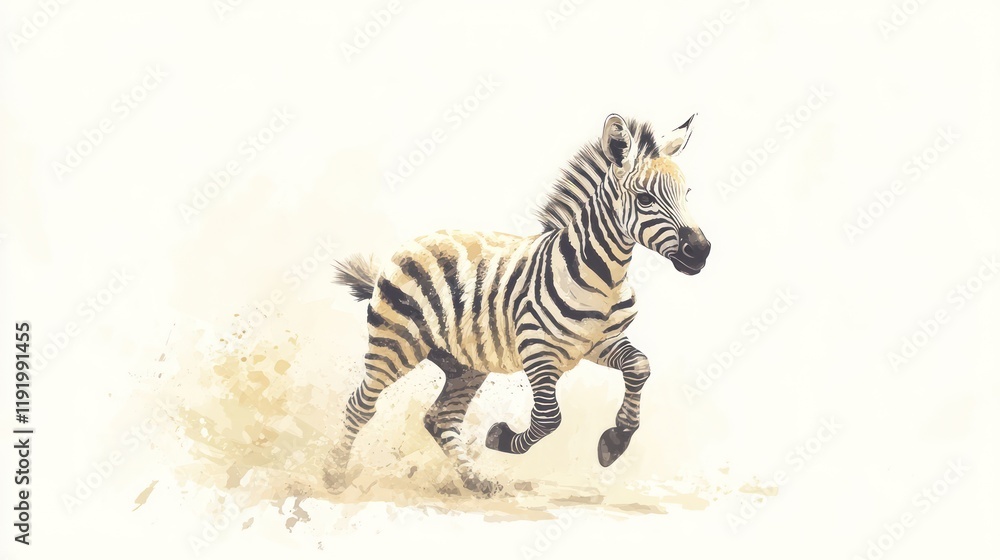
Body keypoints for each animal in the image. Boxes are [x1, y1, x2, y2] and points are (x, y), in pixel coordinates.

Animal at [326, 113, 711, 495]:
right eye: (644, 199)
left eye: (687, 194)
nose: (700, 251)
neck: (604, 277)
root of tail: (415, 241)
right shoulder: (537, 350)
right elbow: (548, 417)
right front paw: (499, 437)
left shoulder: (601, 342)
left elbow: (640, 366)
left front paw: (615, 441)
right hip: (395, 345)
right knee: (360, 406)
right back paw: (334, 476)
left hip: (463, 364)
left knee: (441, 419)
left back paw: (476, 482)